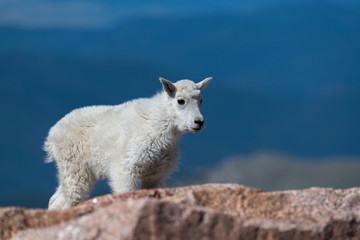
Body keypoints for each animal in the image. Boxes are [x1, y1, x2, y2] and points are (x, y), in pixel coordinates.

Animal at [44, 76, 211, 208]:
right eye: (180, 101)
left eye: (201, 100)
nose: (199, 122)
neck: (159, 125)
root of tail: (52, 134)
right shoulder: (126, 168)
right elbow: (126, 190)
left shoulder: (155, 174)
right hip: (75, 166)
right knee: (70, 198)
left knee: (56, 198)